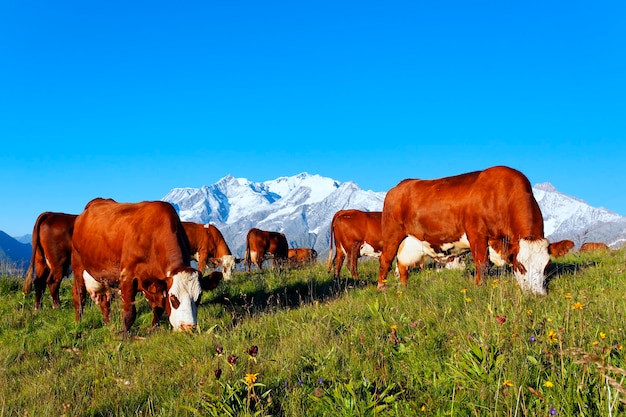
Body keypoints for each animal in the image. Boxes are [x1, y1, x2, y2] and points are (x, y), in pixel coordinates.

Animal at [71, 197, 222, 332]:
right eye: (173, 297)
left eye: (199, 297)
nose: (188, 327)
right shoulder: (127, 277)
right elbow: (129, 314)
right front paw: (124, 336)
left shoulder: (152, 282)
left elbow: (158, 308)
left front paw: (153, 328)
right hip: (78, 264)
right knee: (79, 295)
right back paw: (78, 323)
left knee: (104, 300)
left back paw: (108, 324)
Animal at [376, 164, 576, 294]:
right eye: (520, 265)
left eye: (547, 266)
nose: (536, 295)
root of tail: (400, 186)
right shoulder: (476, 233)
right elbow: (482, 264)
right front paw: (479, 287)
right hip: (391, 233)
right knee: (386, 260)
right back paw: (381, 287)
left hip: (410, 242)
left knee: (402, 265)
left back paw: (404, 288)